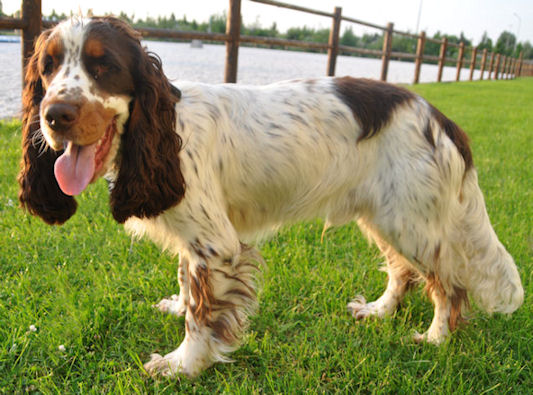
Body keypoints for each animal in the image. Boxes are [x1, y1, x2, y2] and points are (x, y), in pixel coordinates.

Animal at [18, 17, 520, 378]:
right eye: (47, 66)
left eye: (103, 66)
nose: (54, 115)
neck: (165, 131)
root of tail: (439, 117)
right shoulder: (192, 236)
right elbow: (184, 280)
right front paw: (177, 307)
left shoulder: (217, 245)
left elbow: (201, 312)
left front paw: (182, 365)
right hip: (385, 214)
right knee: (403, 272)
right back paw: (378, 311)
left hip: (411, 221)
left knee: (448, 285)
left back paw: (435, 338)